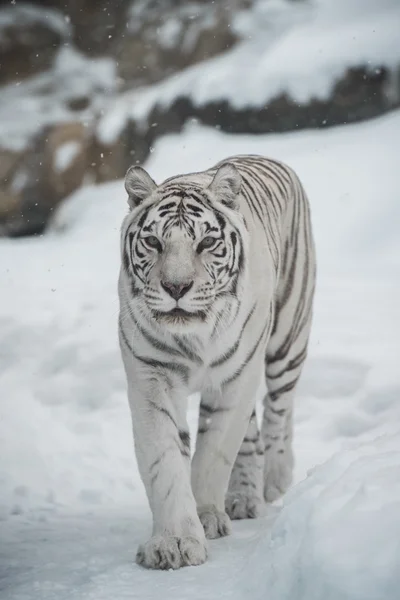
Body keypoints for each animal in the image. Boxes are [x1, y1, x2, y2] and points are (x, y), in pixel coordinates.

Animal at [117, 154, 318, 568]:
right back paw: (242, 497)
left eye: (206, 242)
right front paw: (174, 541)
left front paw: (206, 515)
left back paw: (274, 479)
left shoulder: (236, 379)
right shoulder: (152, 377)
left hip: (286, 341)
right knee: (254, 432)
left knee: (278, 410)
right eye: (153, 241)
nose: (176, 287)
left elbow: (215, 451)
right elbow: (165, 460)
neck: (193, 337)